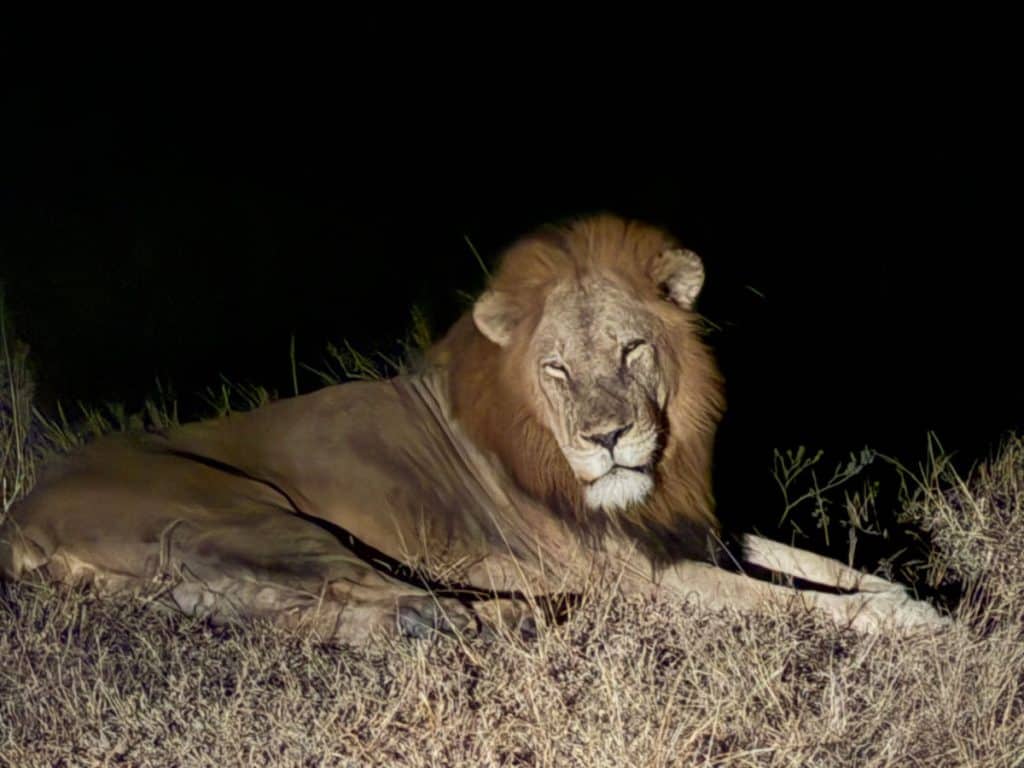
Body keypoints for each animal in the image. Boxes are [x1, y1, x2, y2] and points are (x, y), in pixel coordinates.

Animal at [0, 214, 946, 642]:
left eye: (633, 348)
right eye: (556, 369)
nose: (607, 440)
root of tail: (23, 510)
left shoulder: (688, 525)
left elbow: (818, 566)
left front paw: (907, 593)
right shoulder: (642, 571)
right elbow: (783, 600)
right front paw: (913, 624)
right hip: (249, 517)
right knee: (415, 605)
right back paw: (537, 613)